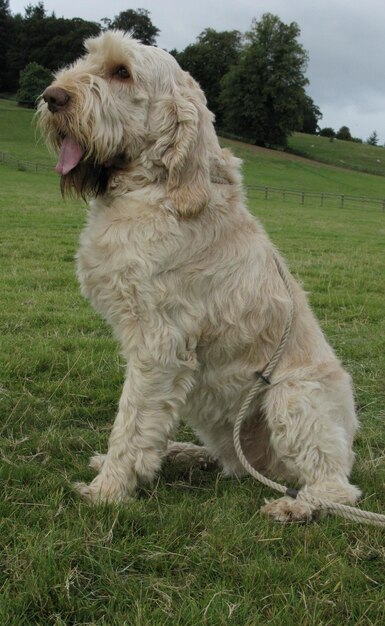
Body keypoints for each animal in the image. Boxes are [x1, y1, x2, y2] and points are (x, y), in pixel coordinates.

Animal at [37, 29, 358, 520]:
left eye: (121, 72)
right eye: (87, 58)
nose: (52, 97)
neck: (155, 186)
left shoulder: (159, 344)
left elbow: (132, 422)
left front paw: (107, 490)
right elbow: (143, 425)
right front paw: (116, 473)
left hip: (291, 395)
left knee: (337, 487)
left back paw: (295, 506)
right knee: (232, 463)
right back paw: (185, 454)